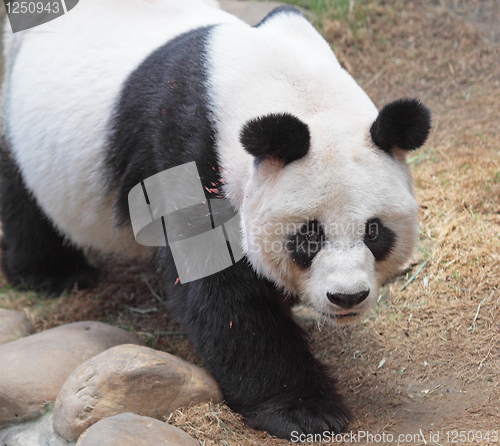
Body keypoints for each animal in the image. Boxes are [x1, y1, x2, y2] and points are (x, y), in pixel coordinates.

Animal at [0, 0, 430, 440]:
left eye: (374, 232)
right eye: (309, 237)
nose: (347, 297)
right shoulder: (183, 150)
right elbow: (219, 288)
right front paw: (305, 410)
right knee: (23, 192)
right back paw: (52, 274)